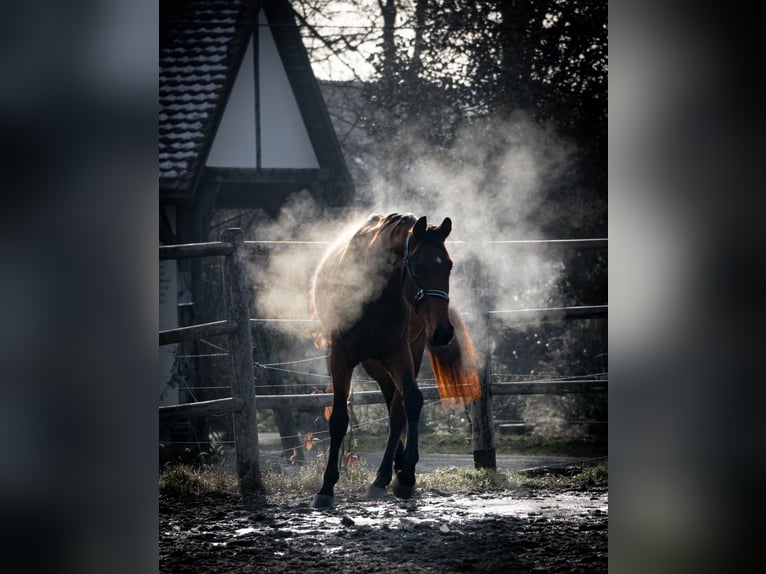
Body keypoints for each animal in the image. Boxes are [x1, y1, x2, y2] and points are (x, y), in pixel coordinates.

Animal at [310, 213, 480, 508]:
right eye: (419, 268)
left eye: (448, 266)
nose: (444, 331)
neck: (372, 295)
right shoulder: (340, 357)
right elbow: (339, 419)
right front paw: (327, 487)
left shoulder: (399, 353)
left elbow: (412, 401)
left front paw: (406, 477)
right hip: (374, 364)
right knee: (391, 404)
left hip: (400, 355)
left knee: (396, 410)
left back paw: (384, 477)